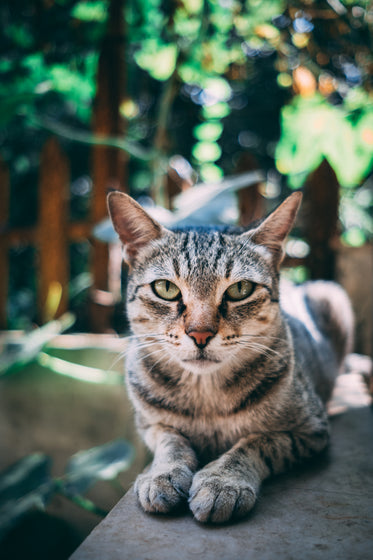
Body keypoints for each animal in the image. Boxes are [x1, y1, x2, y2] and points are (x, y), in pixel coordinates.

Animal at [107, 192, 352, 524]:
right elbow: (171, 442)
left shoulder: (309, 430)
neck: (206, 397)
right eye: (166, 288)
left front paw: (223, 481)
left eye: (240, 289)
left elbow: (256, 443)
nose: (200, 334)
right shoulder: (150, 424)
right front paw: (163, 473)